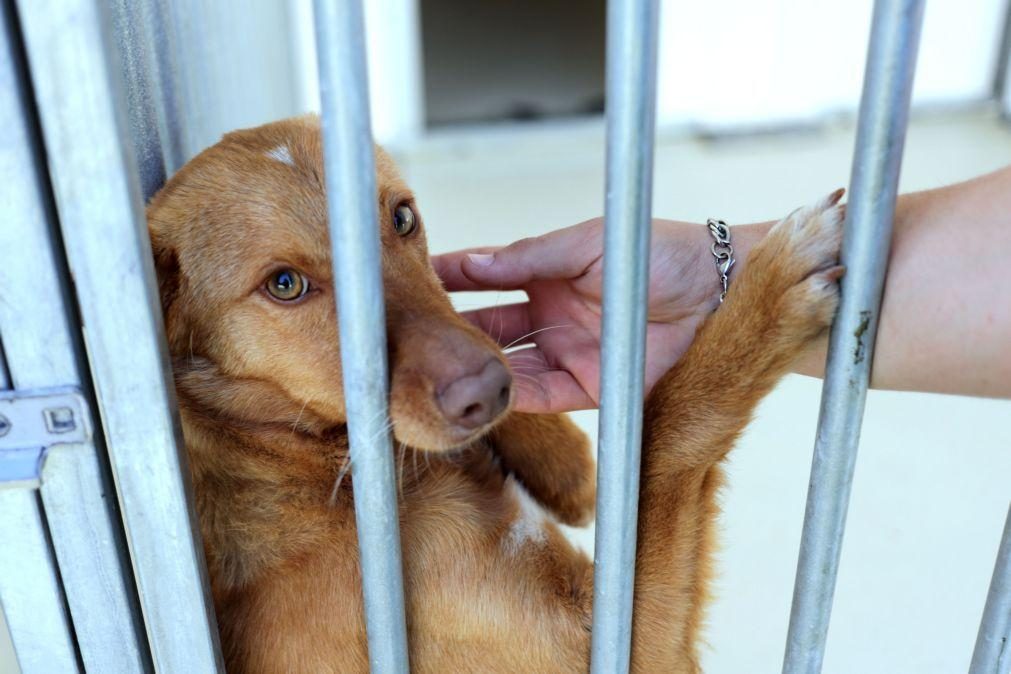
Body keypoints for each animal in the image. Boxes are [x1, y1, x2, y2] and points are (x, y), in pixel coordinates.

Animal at [147, 117, 845, 674]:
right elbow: (670, 431)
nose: (490, 390)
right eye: (284, 285)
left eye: (402, 217)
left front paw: (562, 460)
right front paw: (772, 289)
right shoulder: (607, 647)